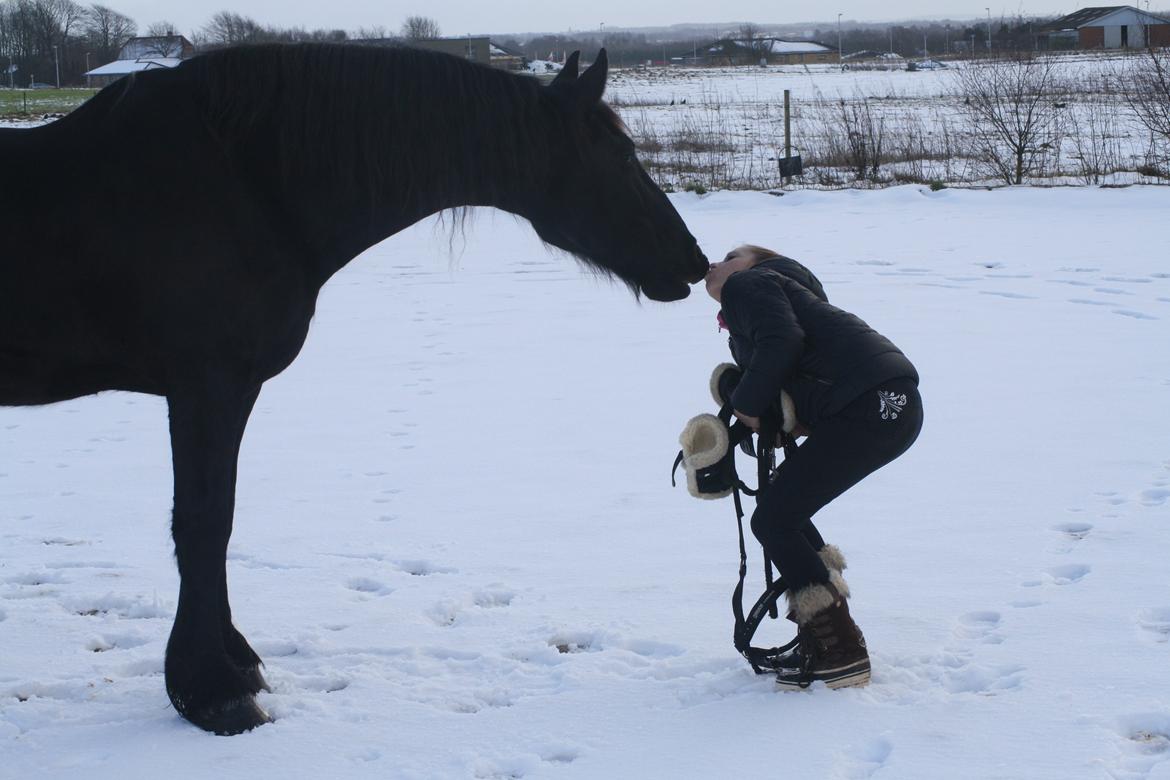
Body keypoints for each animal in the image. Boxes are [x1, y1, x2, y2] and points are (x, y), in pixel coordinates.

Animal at [0, 44, 702, 739]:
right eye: (621, 156)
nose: (693, 262)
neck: (248, 186)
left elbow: (218, 520)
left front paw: (233, 663)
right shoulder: (208, 386)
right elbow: (203, 521)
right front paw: (213, 692)